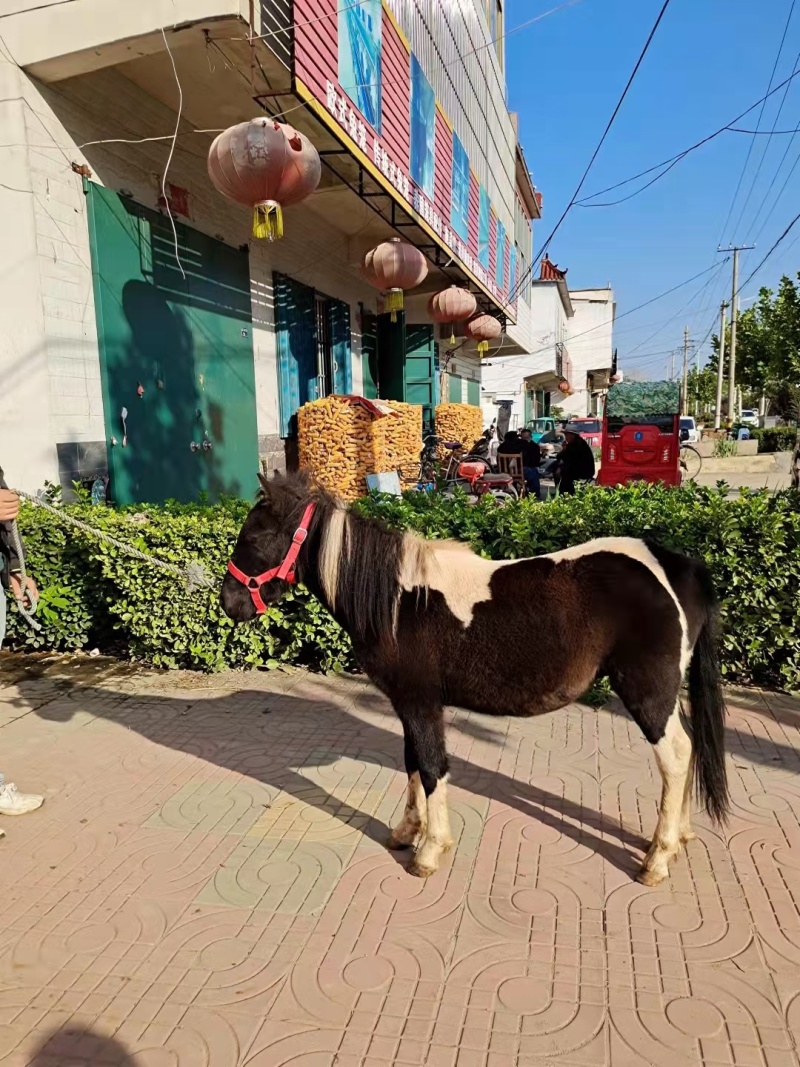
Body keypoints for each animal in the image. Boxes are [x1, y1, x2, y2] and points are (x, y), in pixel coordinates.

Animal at [220, 471, 729, 886]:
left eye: (255, 536)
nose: (229, 603)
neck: (400, 601)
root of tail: (678, 567)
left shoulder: (420, 703)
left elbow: (431, 767)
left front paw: (429, 851)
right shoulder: (409, 704)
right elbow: (411, 762)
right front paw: (406, 832)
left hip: (648, 693)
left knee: (675, 756)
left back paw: (656, 859)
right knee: (689, 749)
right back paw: (676, 839)